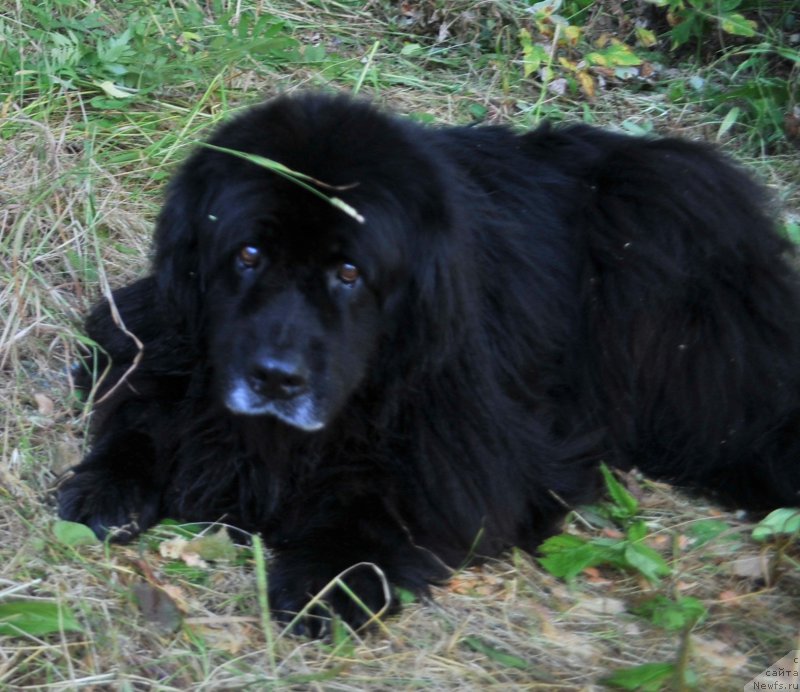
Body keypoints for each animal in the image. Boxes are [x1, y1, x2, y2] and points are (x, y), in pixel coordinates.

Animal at [59, 92, 800, 632]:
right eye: (247, 255)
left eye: (349, 274)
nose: (275, 378)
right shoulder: (156, 338)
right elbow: (144, 415)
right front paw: (108, 484)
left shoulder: (471, 444)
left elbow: (396, 507)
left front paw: (326, 582)